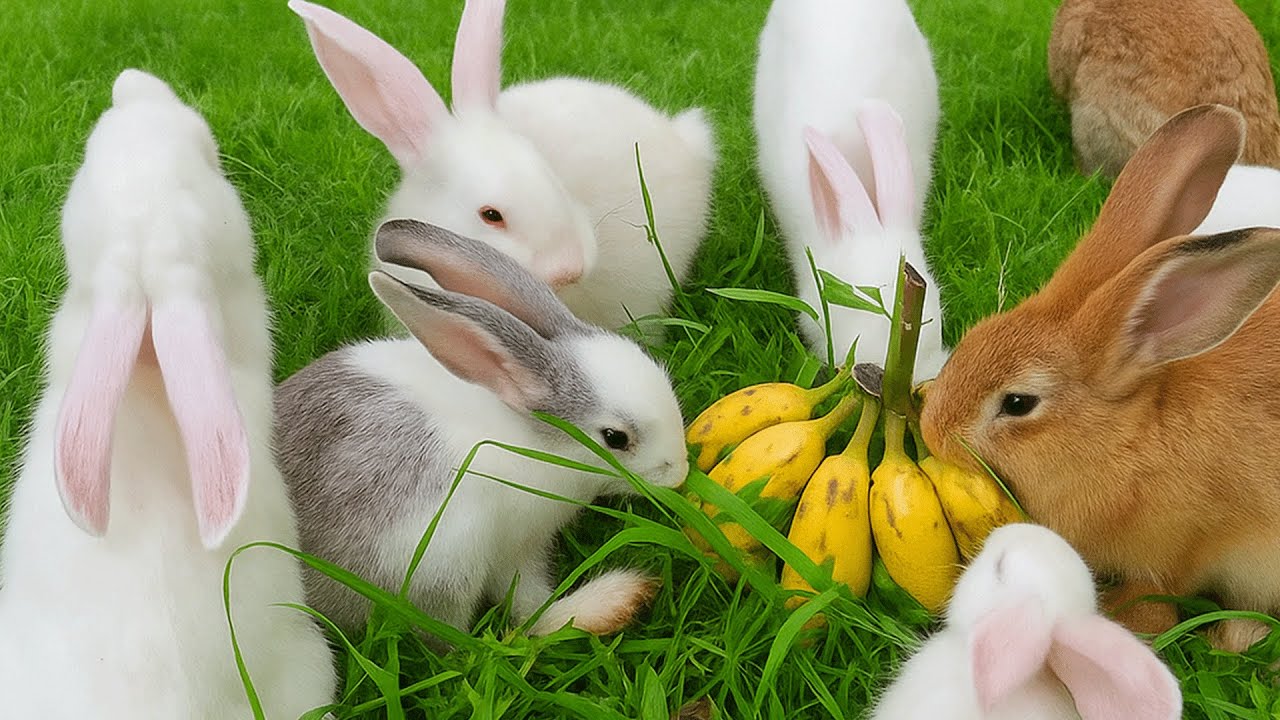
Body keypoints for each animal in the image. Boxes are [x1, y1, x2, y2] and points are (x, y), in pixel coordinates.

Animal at [274, 218, 689, 637]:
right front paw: (615, 602)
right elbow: (528, 610)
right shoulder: (508, 548)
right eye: (615, 438)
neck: (532, 436)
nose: (681, 473)